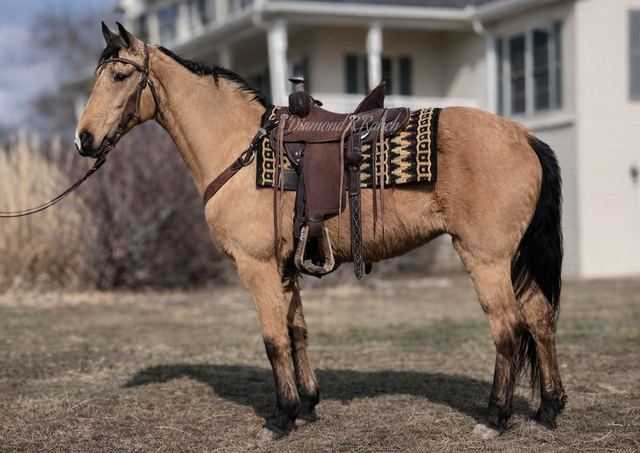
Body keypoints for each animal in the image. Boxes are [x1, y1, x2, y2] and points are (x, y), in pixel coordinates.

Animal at [75, 22, 566, 438]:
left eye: (119, 75)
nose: (83, 139)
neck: (242, 151)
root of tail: (524, 136)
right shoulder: (285, 268)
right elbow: (297, 331)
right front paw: (308, 404)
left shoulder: (256, 267)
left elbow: (273, 340)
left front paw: (282, 417)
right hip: (513, 259)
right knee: (539, 318)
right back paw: (548, 407)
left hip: (486, 258)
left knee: (507, 326)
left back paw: (496, 417)